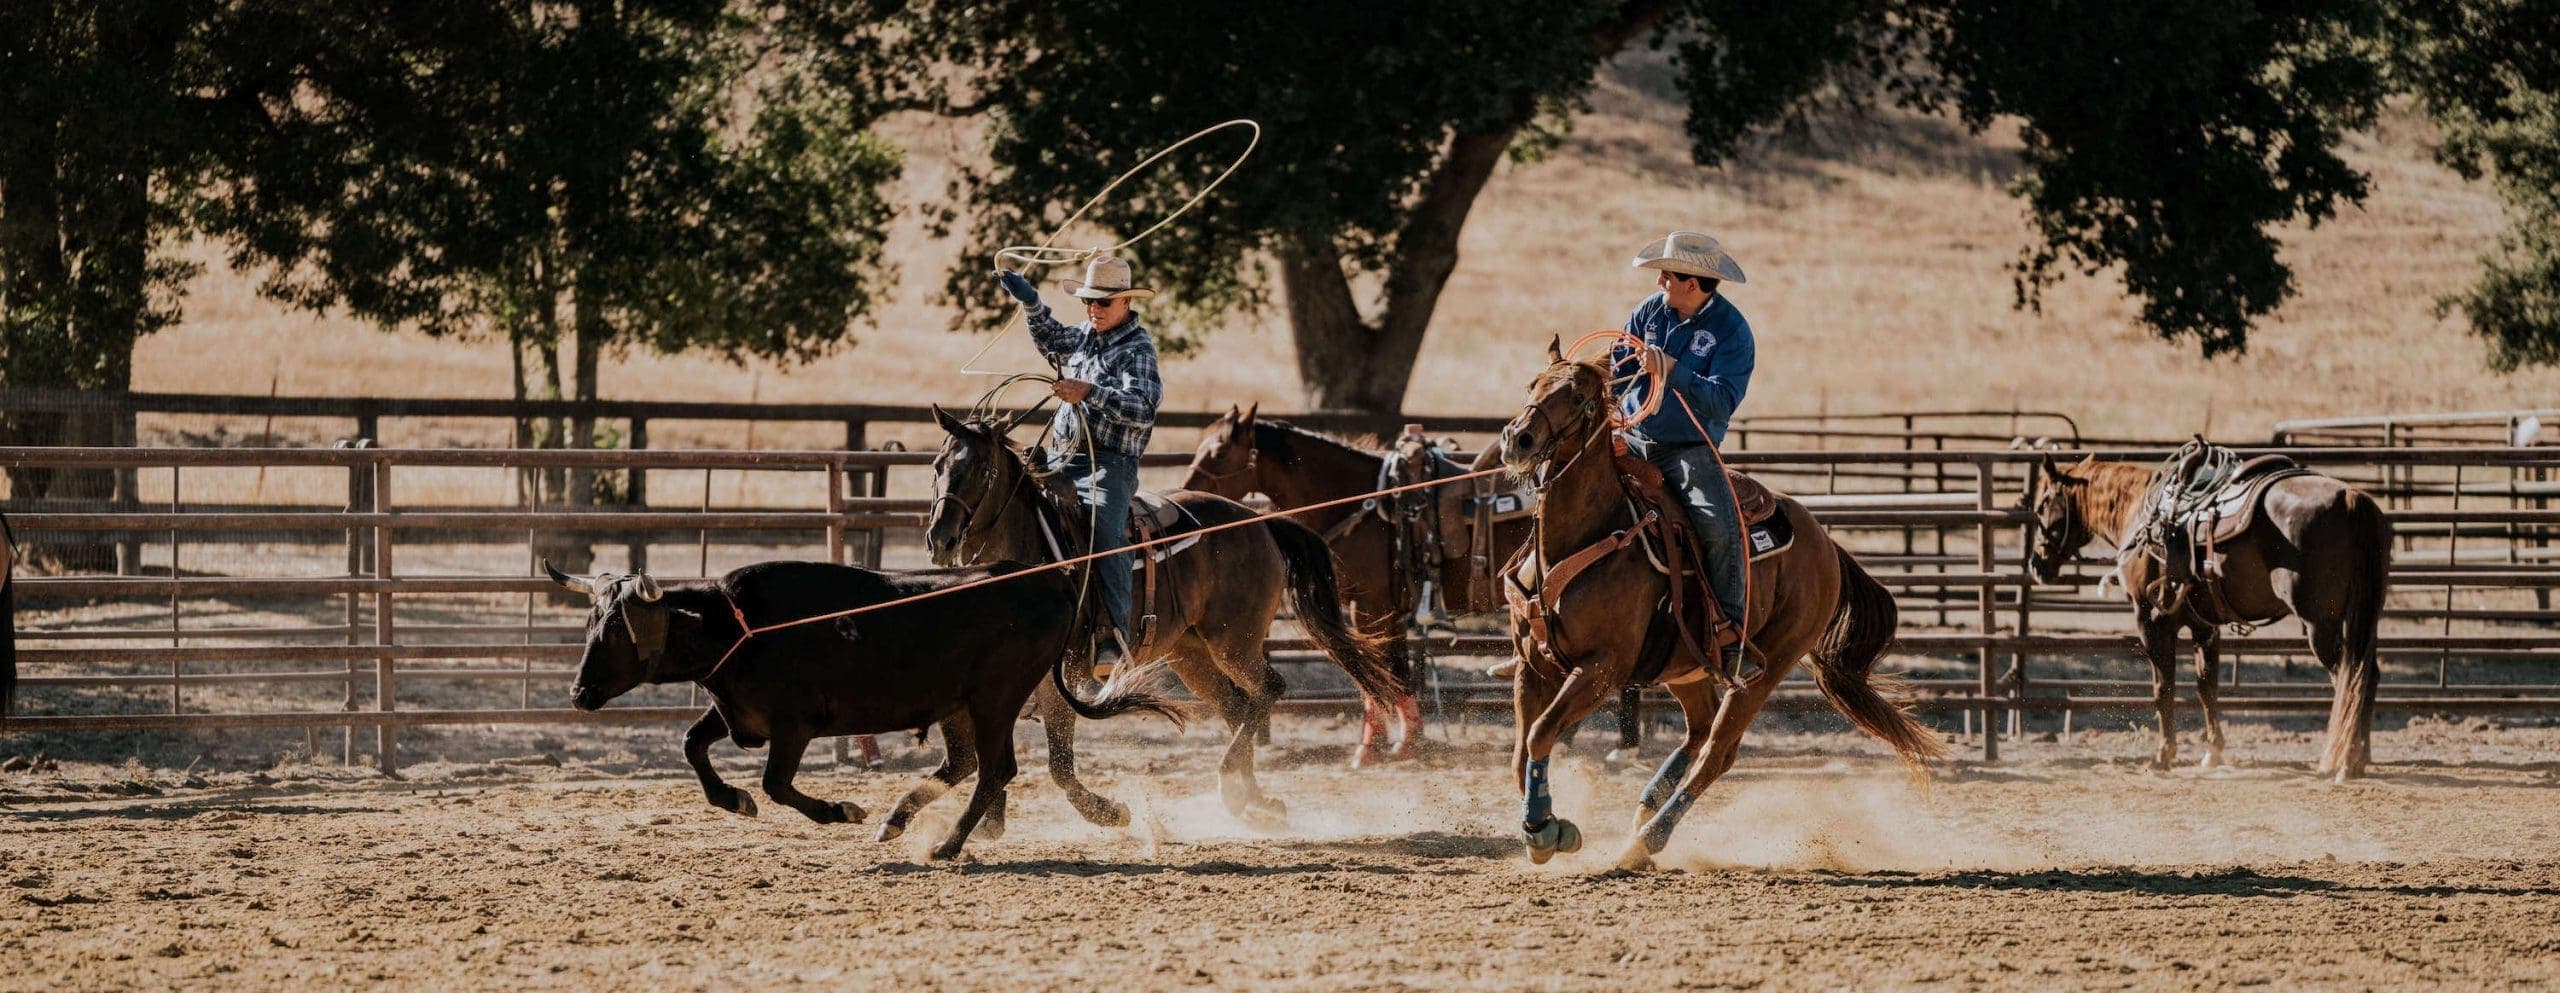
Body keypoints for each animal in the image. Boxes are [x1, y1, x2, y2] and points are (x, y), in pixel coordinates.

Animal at [550, 563, 1177, 854]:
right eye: (591, 622)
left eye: (616, 630)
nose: (579, 693)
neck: (736, 627)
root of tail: (1054, 583)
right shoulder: (737, 713)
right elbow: (691, 745)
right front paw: (733, 799)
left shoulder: (794, 726)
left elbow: (777, 784)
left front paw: (841, 810)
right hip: (959, 707)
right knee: (968, 766)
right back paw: (898, 821)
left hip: (995, 699)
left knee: (995, 770)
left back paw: (946, 845)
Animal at [931, 406, 1402, 824]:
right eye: (937, 465)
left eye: (980, 470)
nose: (939, 538)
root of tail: (1258, 521)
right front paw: (991, 819)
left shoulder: (1060, 671)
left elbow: (1060, 761)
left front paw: (1106, 813)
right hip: (1189, 654)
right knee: (1238, 707)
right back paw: (1254, 799)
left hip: (1234, 642)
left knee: (1268, 689)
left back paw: (1232, 787)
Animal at [2017, 440, 2396, 778]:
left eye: (2043, 505)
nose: (2037, 564)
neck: (2141, 514)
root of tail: (2351, 499)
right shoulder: (2204, 626)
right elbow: (2206, 686)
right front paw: (2212, 752)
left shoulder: (2151, 618)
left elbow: (2163, 687)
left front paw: (2162, 756)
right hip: (2364, 619)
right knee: (2368, 675)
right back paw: (2359, 759)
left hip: (2321, 625)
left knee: (2348, 677)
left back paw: (2344, 761)